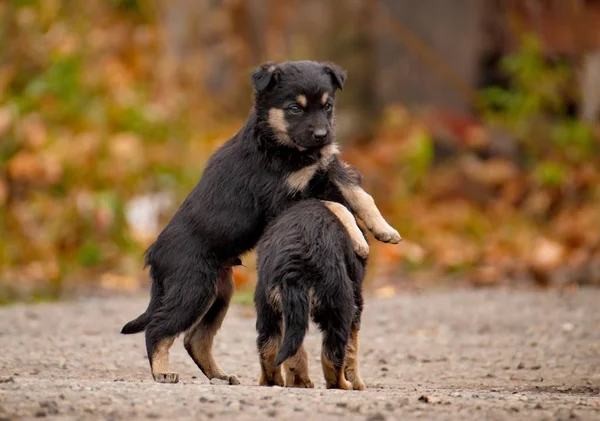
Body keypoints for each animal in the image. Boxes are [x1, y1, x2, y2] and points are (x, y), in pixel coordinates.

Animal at [253, 199, 366, 388]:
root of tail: (293, 267)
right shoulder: (356, 298)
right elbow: (352, 348)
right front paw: (357, 383)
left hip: (266, 306)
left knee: (269, 348)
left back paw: (275, 382)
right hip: (341, 304)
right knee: (332, 354)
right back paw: (343, 385)